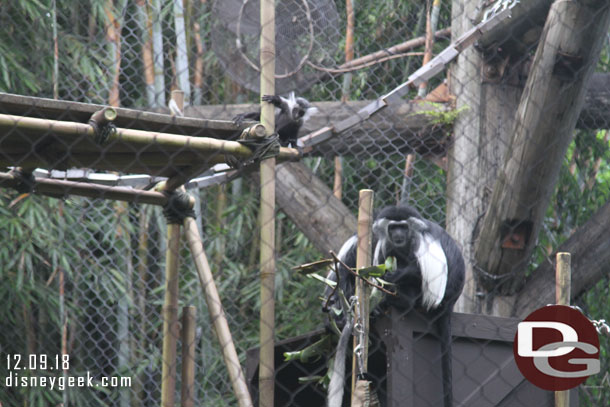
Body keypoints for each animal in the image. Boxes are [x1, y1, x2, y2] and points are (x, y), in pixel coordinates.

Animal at [326, 206, 464, 407]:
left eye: (403, 227)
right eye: (393, 228)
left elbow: (418, 271)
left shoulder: (418, 241)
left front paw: (392, 277)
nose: (398, 234)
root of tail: (449, 303)